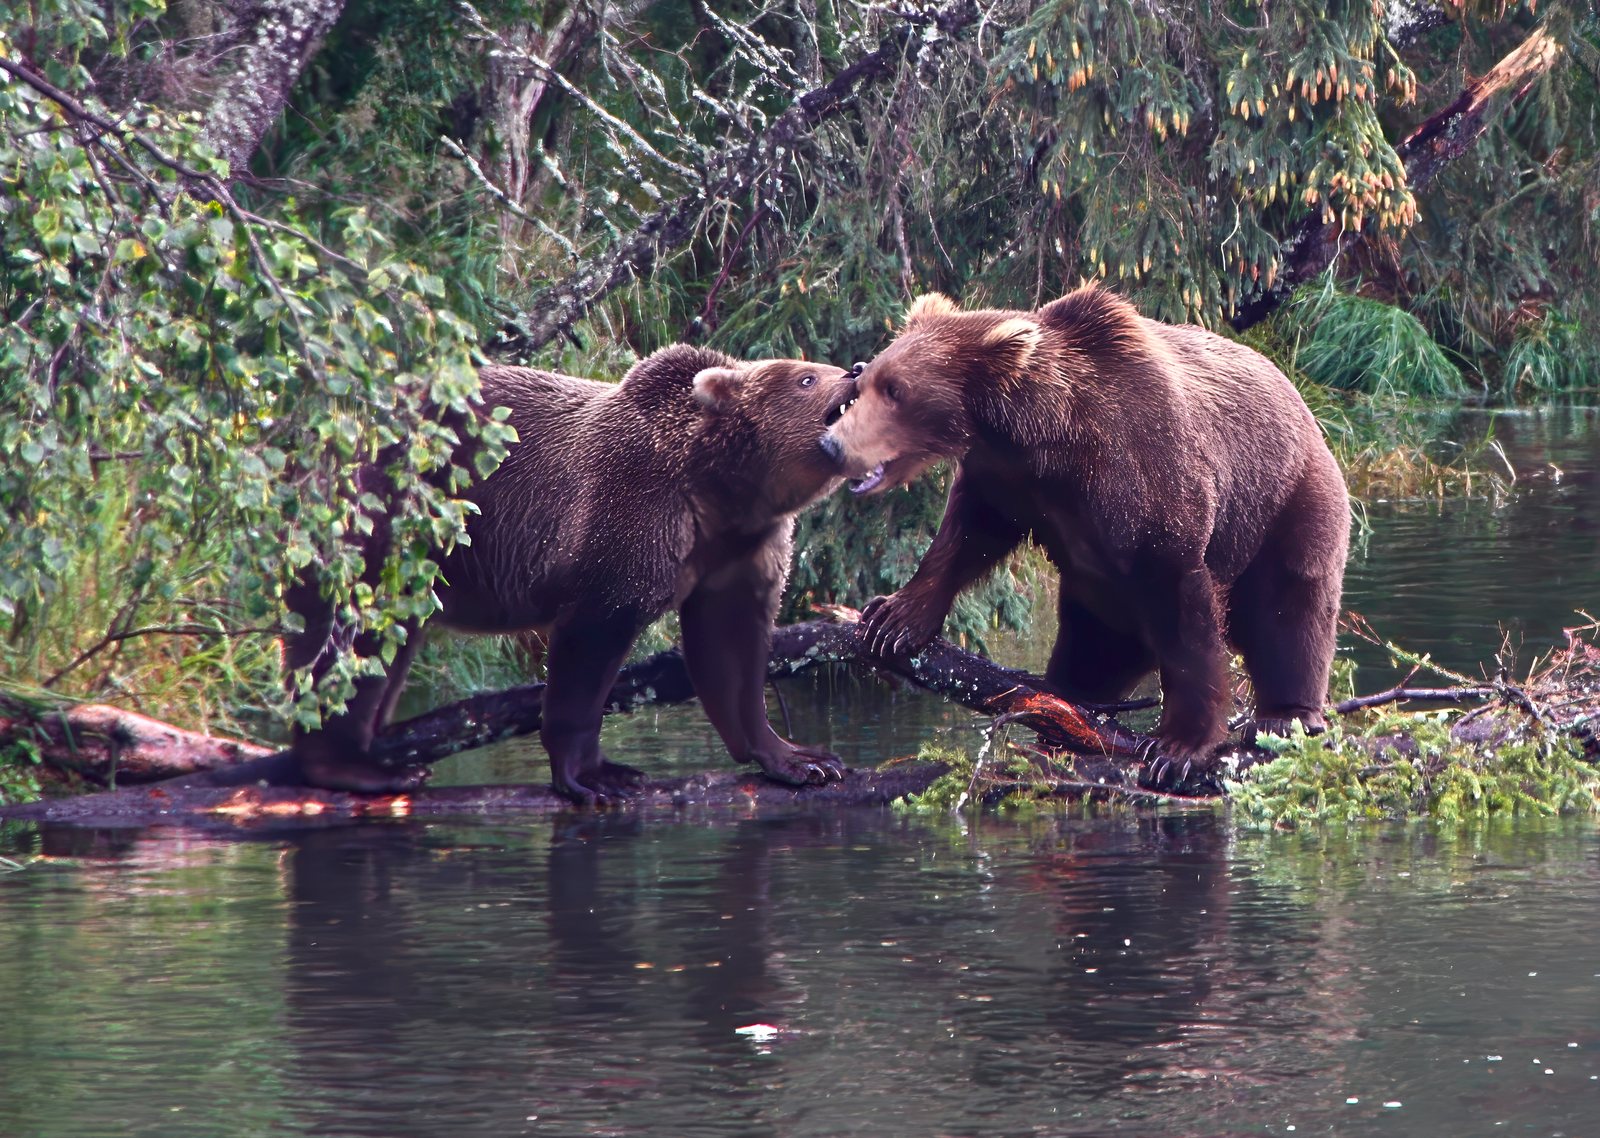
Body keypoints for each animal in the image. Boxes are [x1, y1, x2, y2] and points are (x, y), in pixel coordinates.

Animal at [285, 345, 860, 803]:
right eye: (807, 377)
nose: (855, 370)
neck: (715, 487)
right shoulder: (628, 518)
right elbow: (589, 648)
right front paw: (597, 775)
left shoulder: (741, 549)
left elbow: (732, 647)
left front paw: (801, 758)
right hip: (389, 510)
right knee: (350, 633)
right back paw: (362, 767)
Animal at [817, 284, 1349, 773]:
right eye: (868, 379)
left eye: (896, 390)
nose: (831, 445)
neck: (1048, 439)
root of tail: (1304, 407)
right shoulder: (1010, 480)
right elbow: (966, 536)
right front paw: (892, 617)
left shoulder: (1145, 473)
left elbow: (1184, 606)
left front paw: (1178, 745)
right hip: (1104, 600)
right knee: (1094, 648)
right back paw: (1069, 707)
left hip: (1285, 500)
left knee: (1288, 606)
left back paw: (1286, 713)